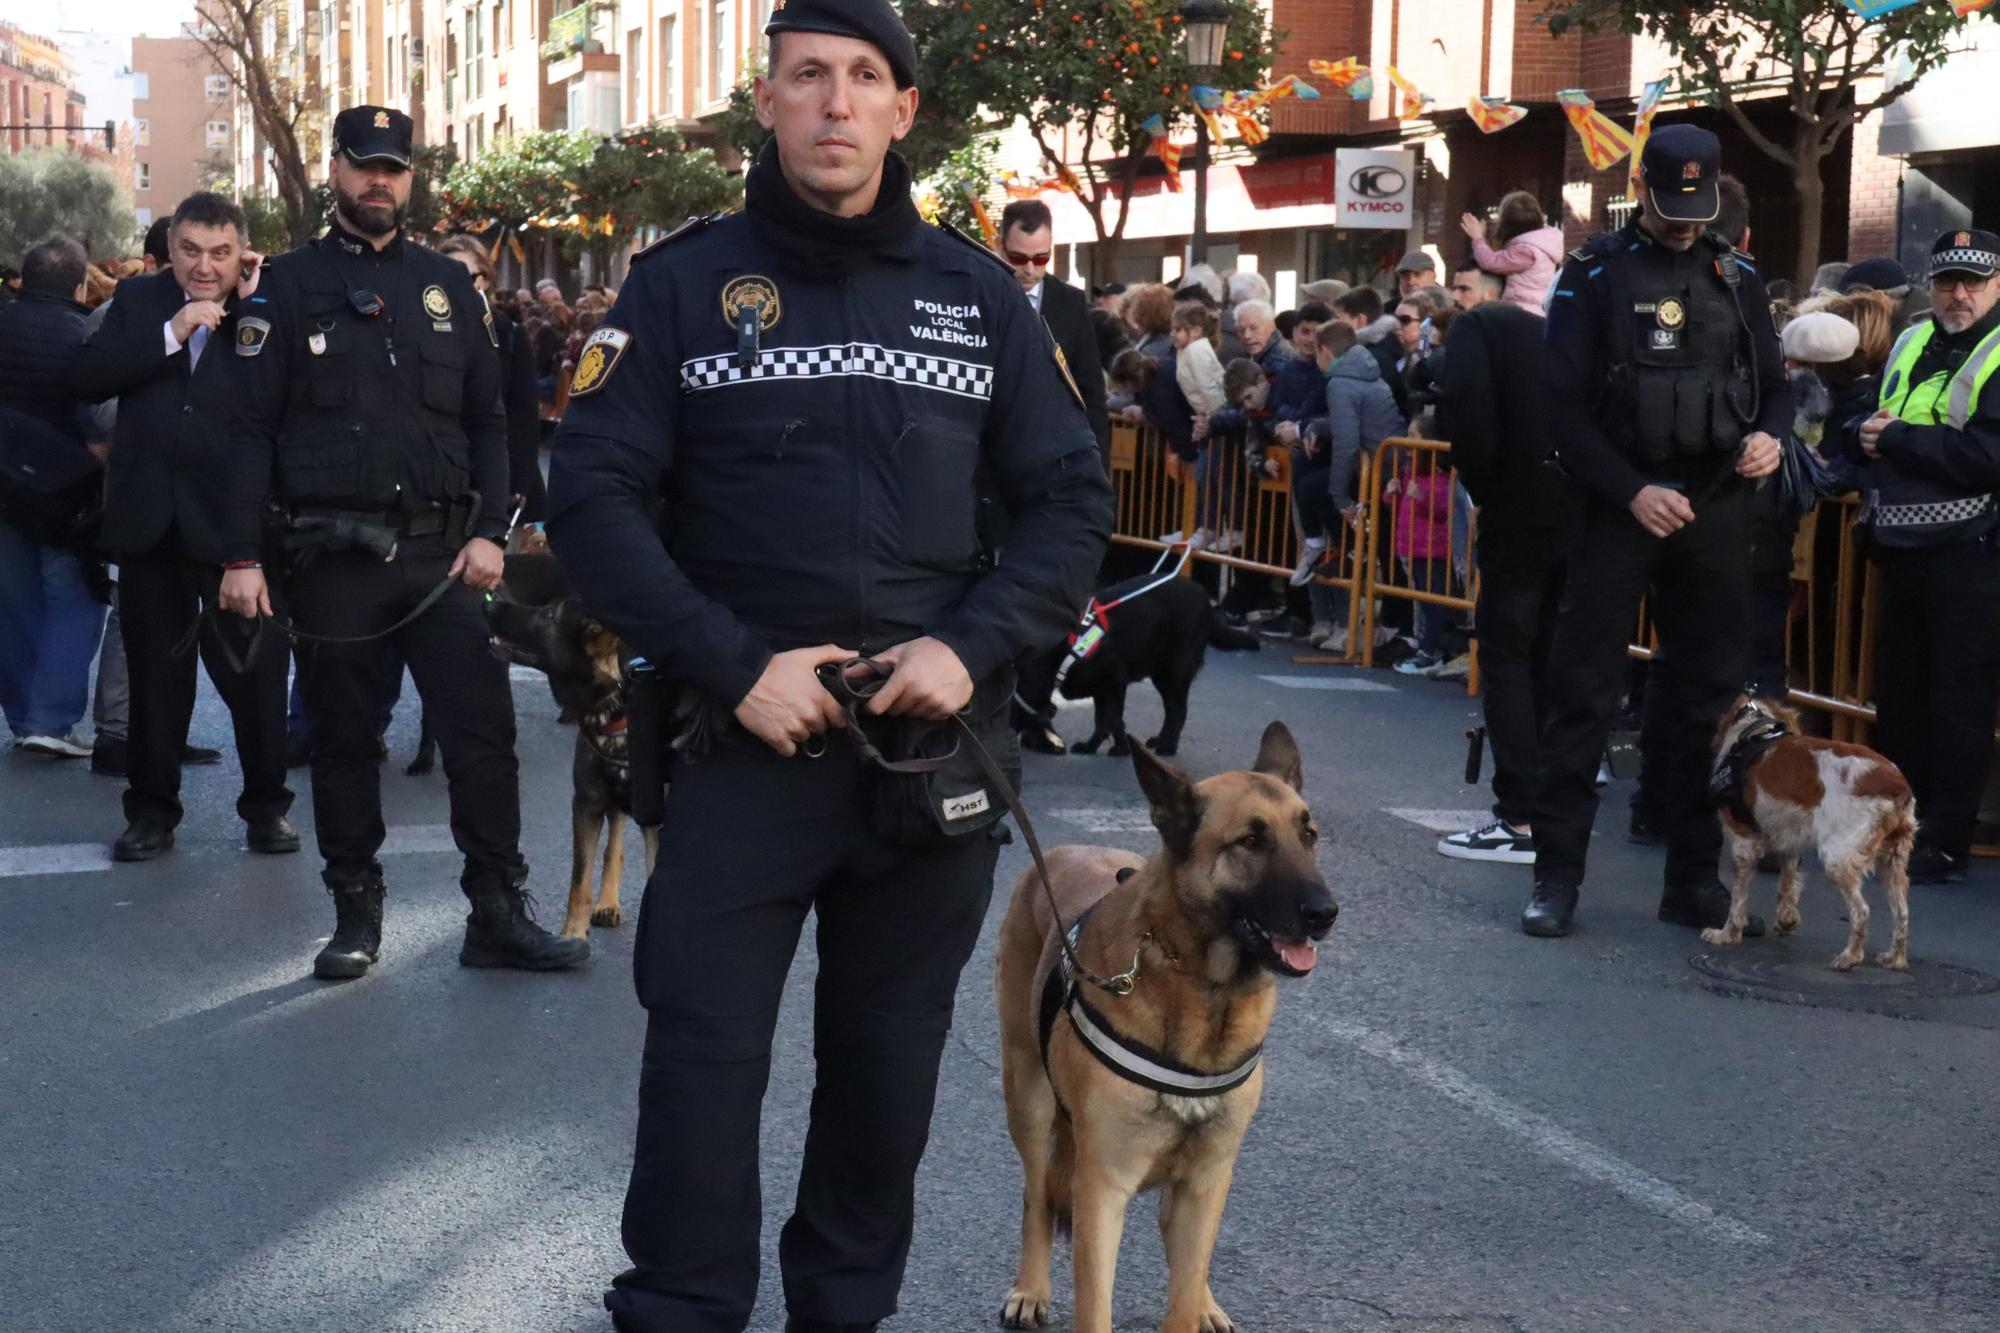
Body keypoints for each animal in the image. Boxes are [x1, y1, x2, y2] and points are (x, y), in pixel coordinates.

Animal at [482, 596, 656, 940]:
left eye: (550, 614)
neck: (617, 706)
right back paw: (607, 902)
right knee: (614, 845)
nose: (490, 605)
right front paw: (572, 935)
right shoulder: (586, 806)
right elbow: (579, 881)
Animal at [992, 728, 1336, 1328]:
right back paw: (1031, 1287)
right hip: (1028, 1098)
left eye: (1308, 835)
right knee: (1036, 1194)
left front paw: (1194, 1305)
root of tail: (1058, 852)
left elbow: (1184, 1283)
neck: (1203, 990)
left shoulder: (1206, 1181)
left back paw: (1207, 1303)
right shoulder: (1102, 1188)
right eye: (1250, 841)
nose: (1326, 912)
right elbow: (1094, 1303)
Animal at [1016, 572, 1264, 756]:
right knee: (1171, 710)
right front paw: (1092, 746)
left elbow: (1113, 719)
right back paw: (1160, 740)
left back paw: (1168, 746)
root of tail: (1207, 605)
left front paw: (1121, 748)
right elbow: (1101, 720)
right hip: (1161, 675)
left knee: (1178, 710)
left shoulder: (1115, 682)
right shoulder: (1102, 690)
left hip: (1174, 672)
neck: (1062, 654)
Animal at [1712, 696, 1912, 964]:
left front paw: (1727, 935)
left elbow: (1738, 899)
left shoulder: (1744, 842)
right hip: (1892, 860)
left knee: (1861, 911)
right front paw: (1786, 919)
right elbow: (1787, 881)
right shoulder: (1790, 842)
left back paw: (1849, 957)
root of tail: (1896, 784)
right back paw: (1894, 959)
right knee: (1902, 912)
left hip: (1837, 858)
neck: (1755, 731)